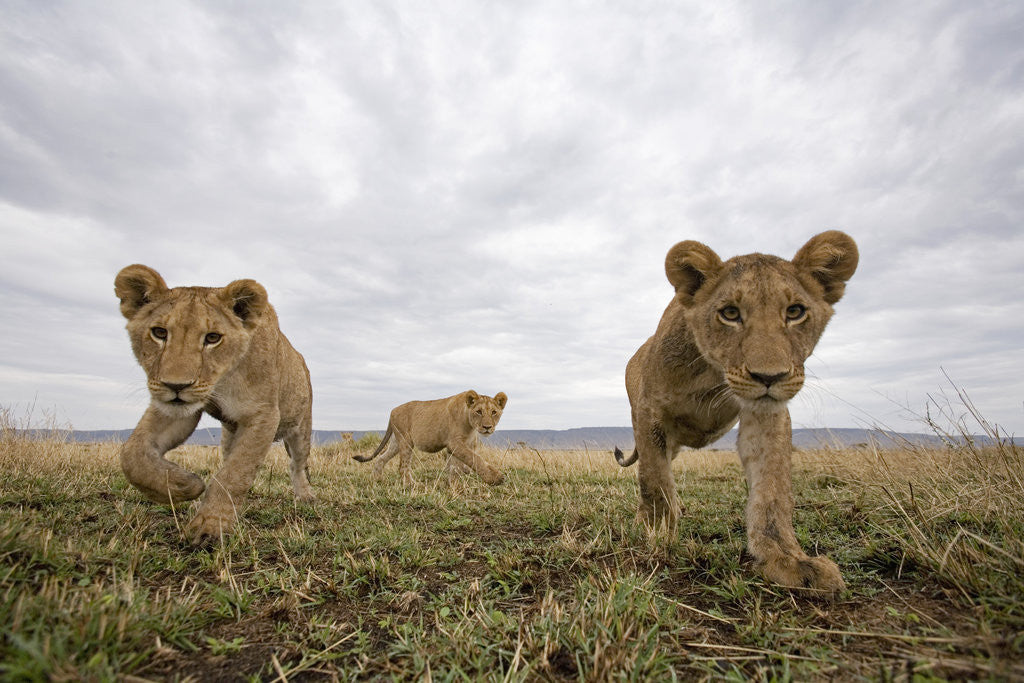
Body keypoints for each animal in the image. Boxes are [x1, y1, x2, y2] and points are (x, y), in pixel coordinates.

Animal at [114, 264, 314, 542]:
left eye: (212, 338)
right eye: (159, 333)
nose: (176, 386)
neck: (222, 379)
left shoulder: (264, 414)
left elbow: (236, 472)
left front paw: (210, 526)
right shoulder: (178, 408)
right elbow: (132, 454)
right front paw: (183, 485)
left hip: (301, 429)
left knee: (296, 464)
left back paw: (304, 495)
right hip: (229, 433)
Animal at [354, 390, 507, 486]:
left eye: (494, 412)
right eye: (479, 412)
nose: (487, 427)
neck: (470, 426)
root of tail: (392, 411)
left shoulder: (462, 445)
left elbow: (456, 466)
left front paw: (455, 483)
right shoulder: (454, 443)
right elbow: (475, 458)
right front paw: (495, 478)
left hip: (396, 442)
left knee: (381, 458)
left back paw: (376, 479)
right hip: (406, 441)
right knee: (403, 467)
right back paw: (412, 485)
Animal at [614, 231, 858, 598]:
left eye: (795, 311)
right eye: (730, 313)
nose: (770, 377)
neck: (714, 374)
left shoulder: (766, 412)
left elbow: (772, 490)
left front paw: (787, 561)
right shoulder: (650, 412)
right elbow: (654, 481)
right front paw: (656, 535)